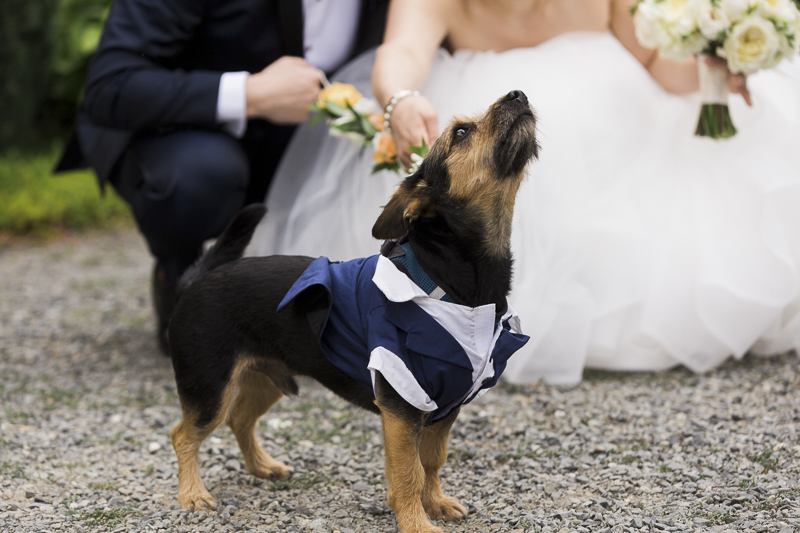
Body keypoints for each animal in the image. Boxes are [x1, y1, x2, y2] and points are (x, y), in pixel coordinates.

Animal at [166, 91, 540, 532]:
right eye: (461, 133)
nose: (518, 94)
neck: (462, 287)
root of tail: (198, 278)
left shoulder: (444, 407)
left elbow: (432, 461)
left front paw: (435, 503)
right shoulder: (401, 404)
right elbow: (408, 472)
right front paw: (415, 521)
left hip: (266, 377)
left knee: (239, 419)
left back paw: (262, 466)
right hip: (210, 385)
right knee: (184, 434)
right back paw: (192, 494)